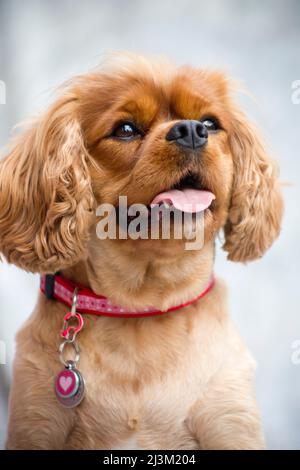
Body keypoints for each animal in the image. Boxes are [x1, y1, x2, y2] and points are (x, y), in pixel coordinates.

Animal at [0, 53, 282, 450]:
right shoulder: (36, 422)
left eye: (211, 124)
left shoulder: (230, 422)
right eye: (126, 129)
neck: (141, 307)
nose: (191, 130)